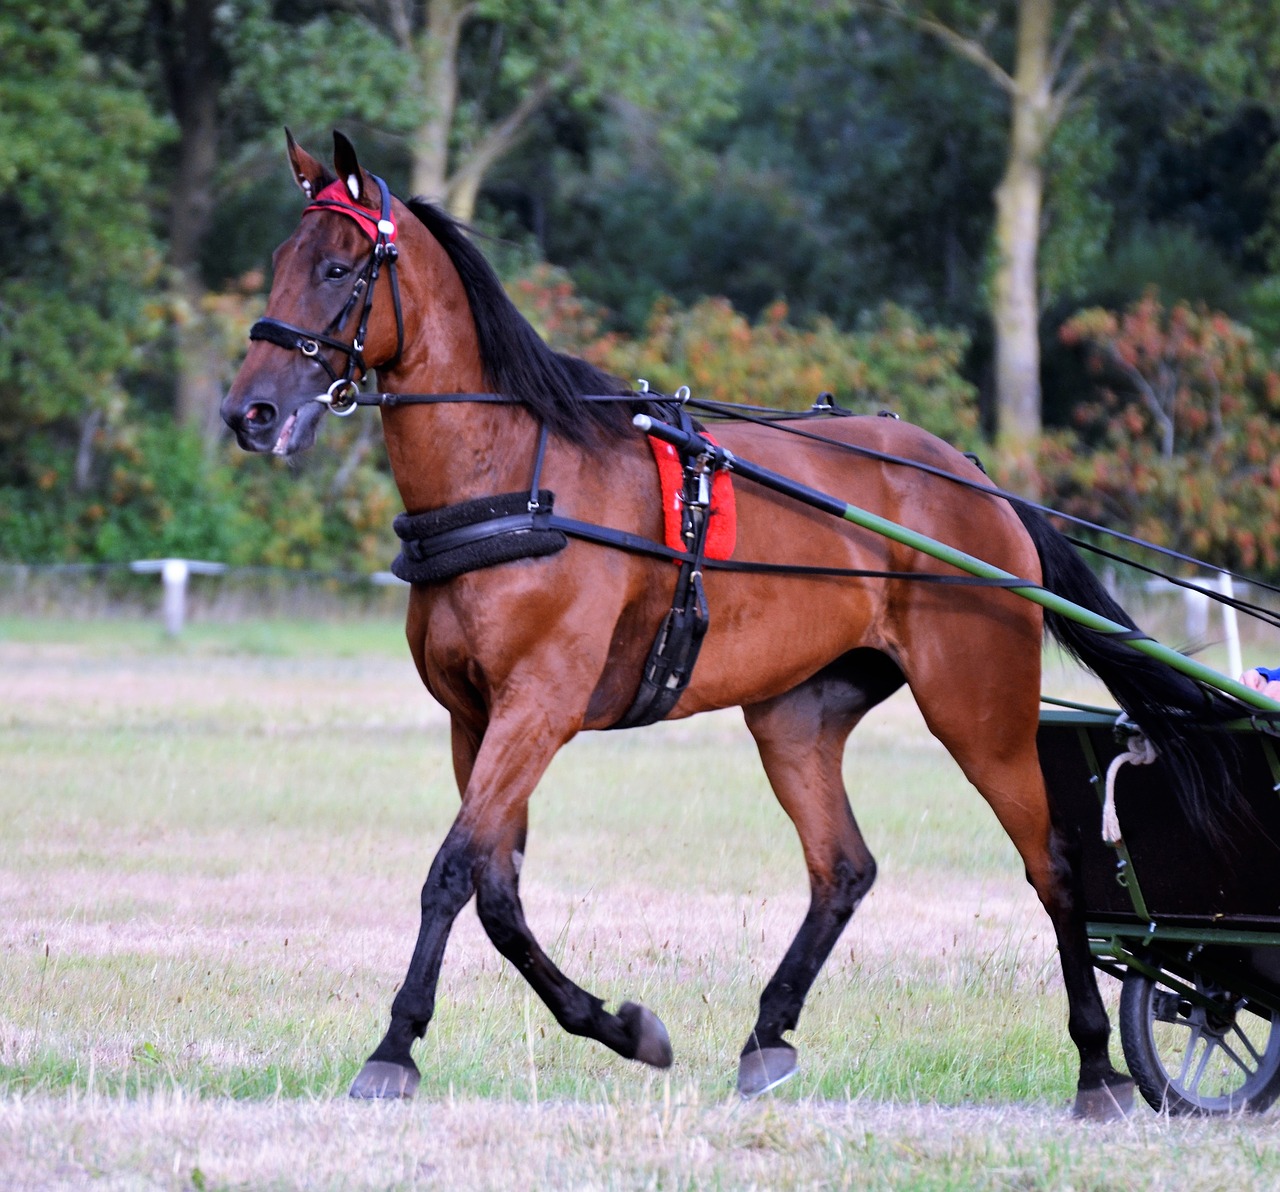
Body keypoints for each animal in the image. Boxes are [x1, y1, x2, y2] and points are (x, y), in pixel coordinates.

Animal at [225, 130, 1233, 1116]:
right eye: (277, 260)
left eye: (339, 266)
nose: (250, 411)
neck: (516, 478)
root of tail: (976, 482)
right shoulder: (475, 718)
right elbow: (496, 892)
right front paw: (618, 1026)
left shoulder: (538, 706)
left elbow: (453, 873)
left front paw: (394, 1047)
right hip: (796, 716)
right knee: (843, 868)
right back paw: (769, 1034)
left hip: (979, 709)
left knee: (1052, 864)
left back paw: (1097, 1065)